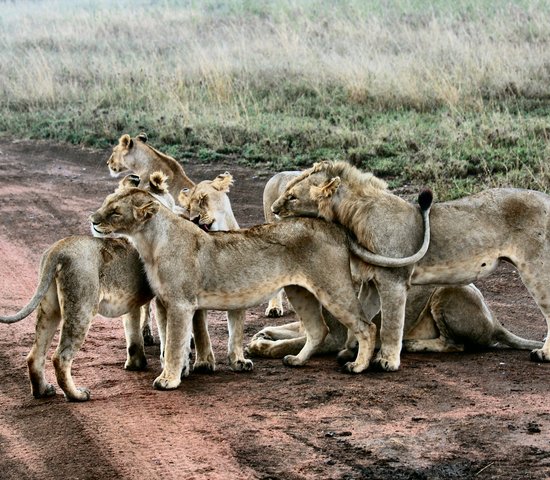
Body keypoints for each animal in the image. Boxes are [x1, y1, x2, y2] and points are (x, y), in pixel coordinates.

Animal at [89, 184, 436, 390]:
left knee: (366, 326)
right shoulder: (164, 303)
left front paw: (169, 379)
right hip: (300, 291)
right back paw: (297, 360)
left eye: (115, 211)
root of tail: (333, 226)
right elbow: (170, 343)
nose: (93, 219)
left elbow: (175, 343)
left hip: (332, 286)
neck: (149, 241)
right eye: (106, 203)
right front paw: (179, 370)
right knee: (318, 329)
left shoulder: (180, 304)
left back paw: (358, 366)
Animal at [272, 161, 550, 372]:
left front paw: (386, 361)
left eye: (292, 197)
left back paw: (543, 353)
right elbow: (363, 318)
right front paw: (354, 353)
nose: (273, 209)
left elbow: (391, 324)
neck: (351, 218)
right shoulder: (372, 282)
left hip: (533, 268)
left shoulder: (393, 280)